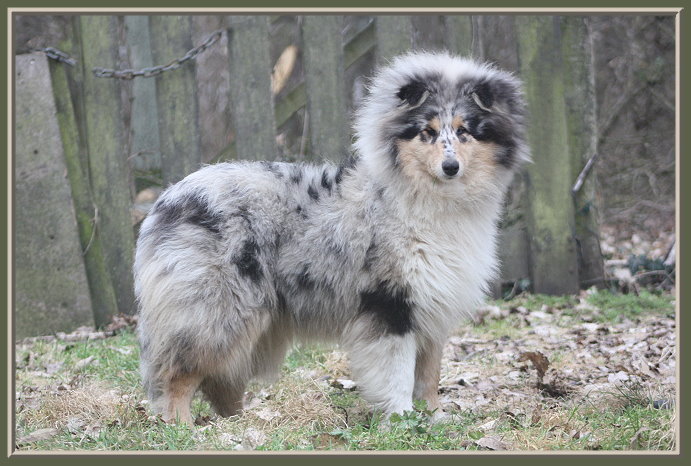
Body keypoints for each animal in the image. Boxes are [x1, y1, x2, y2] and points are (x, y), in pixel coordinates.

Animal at [134, 51, 528, 424]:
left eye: (464, 131)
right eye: (427, 132)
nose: (450, 167)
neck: (423, 199)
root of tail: (165, 201)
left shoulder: (431, 308)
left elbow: (428, 376)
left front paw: (435, 418)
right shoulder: (390, 305)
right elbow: (398, 374)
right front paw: (401, 420)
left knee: (218, 383)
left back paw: (237, 424)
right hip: (215, 314)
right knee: (177, 377)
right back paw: (184, 428)